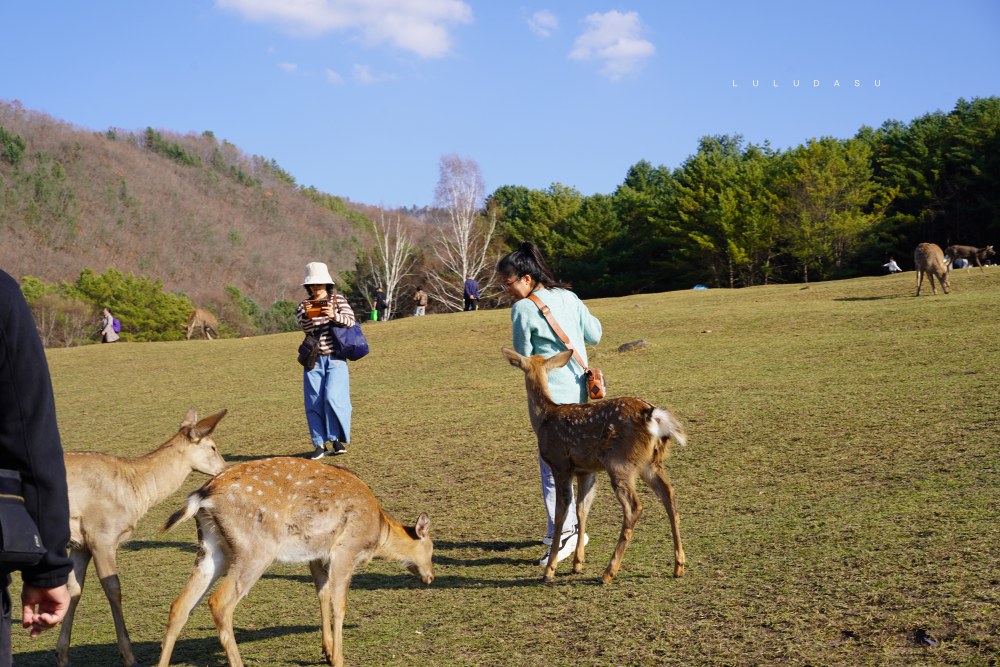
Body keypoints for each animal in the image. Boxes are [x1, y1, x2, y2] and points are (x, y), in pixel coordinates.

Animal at [56, 408, 229, 667]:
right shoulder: (102, 535)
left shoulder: (80, 543)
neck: (136, 489)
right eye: (213, 446)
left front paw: (61, 656)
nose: (225, 469)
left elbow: (73, 589)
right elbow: (114, 588)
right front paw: (129, 656)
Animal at [156, 456, 434, 667]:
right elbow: (339, 604)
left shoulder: (317, 555)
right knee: (219, 602)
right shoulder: (346, 550)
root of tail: (202, 496)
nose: (431, 577)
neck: (378, 532)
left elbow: (322, 594)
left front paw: (327, 652)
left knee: (180, 604)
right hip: (255, 549)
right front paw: (339, 659)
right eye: (431, 548)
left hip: (211, 548)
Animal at [500, 350, 688, 584]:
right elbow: (582, 509)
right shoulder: (586, 471)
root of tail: (652, 415)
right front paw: (577, 564)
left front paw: (550, 570)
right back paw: (679, 566)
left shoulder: (560, 464)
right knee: (669, 494)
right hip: (650, 463)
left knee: (634, 507)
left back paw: (608, 572)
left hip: (619, 462)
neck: (544, 418)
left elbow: (561, 513)